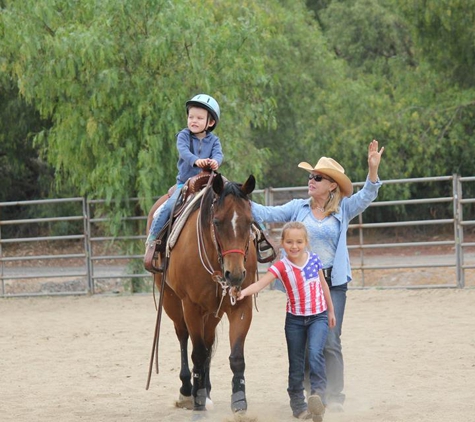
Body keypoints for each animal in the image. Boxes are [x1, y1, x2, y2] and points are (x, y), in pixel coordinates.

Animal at [146, 173, 256, 414]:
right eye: (217, 222)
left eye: (250, 221)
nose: (235, 274)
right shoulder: (191, 307)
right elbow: (196, 352)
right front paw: (196, 397)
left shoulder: (241, 305)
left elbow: (236, 356)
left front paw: (239, 400)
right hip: (171, 301)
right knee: (183, 336)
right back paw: (188, 390)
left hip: (213, 312)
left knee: (208, 341)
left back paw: (207, 391)